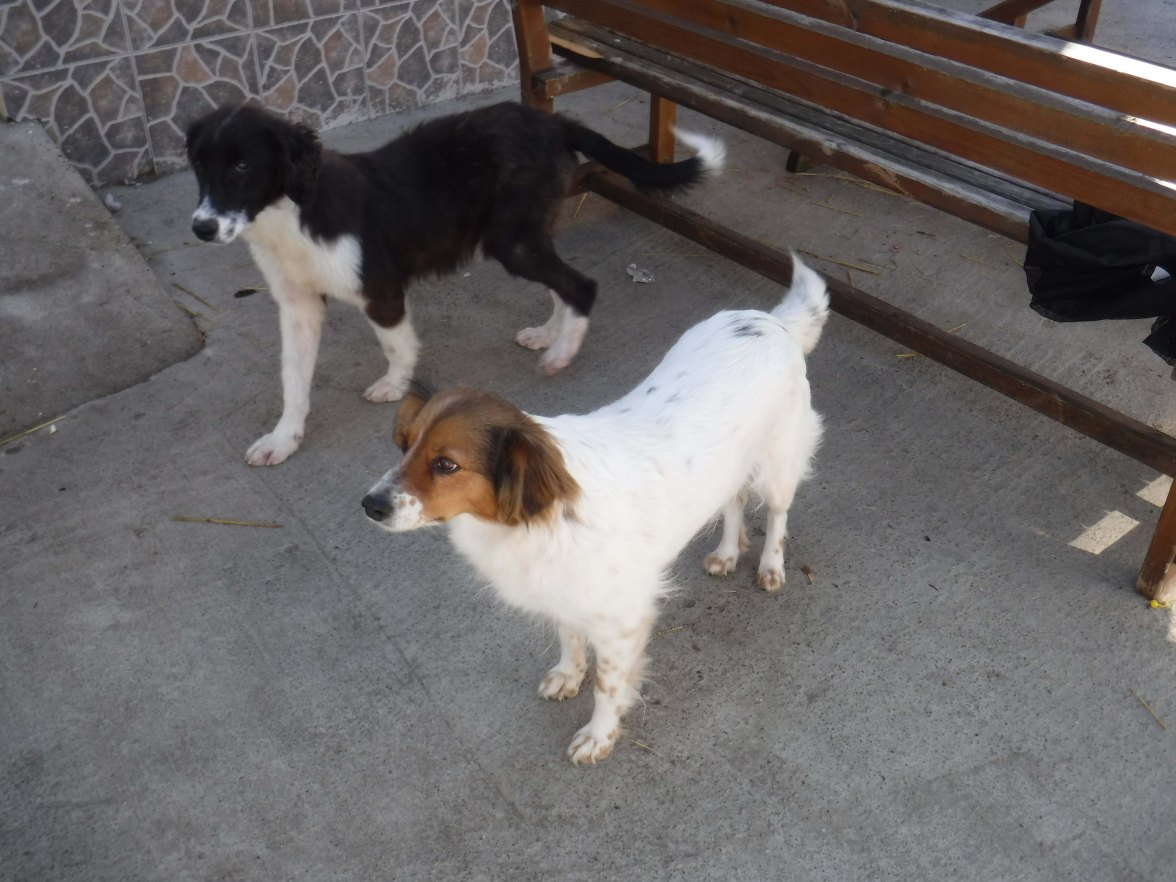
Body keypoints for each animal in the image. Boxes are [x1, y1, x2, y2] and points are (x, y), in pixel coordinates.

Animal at [184, 101, 725, 466]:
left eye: (242, 165)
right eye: (199, 165)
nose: (201, 229)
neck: (295, 211)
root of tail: (550, 121)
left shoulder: (380, 291)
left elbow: (398, 345)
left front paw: (394, 386)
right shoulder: (297, 305)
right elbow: (293, 380)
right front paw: (283, 439)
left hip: (511, 240)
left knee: (581, 285)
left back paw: (561, 353)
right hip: (524, 235)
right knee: (562, 284)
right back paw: (548, 334)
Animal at [361, 255, 828, 764]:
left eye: (446, 464)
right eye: (404, 445)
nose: (370, 506)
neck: (539, 522)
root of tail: (771, 321)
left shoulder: (621, 621)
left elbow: (608, 686)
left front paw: (599, 735)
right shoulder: (566, 592)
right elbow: (570, 637)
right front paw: (569, 675)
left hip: (779, 464)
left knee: (778, 514)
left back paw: (770, 566)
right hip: (727, 466)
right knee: (734, 500)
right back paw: (727, 552)